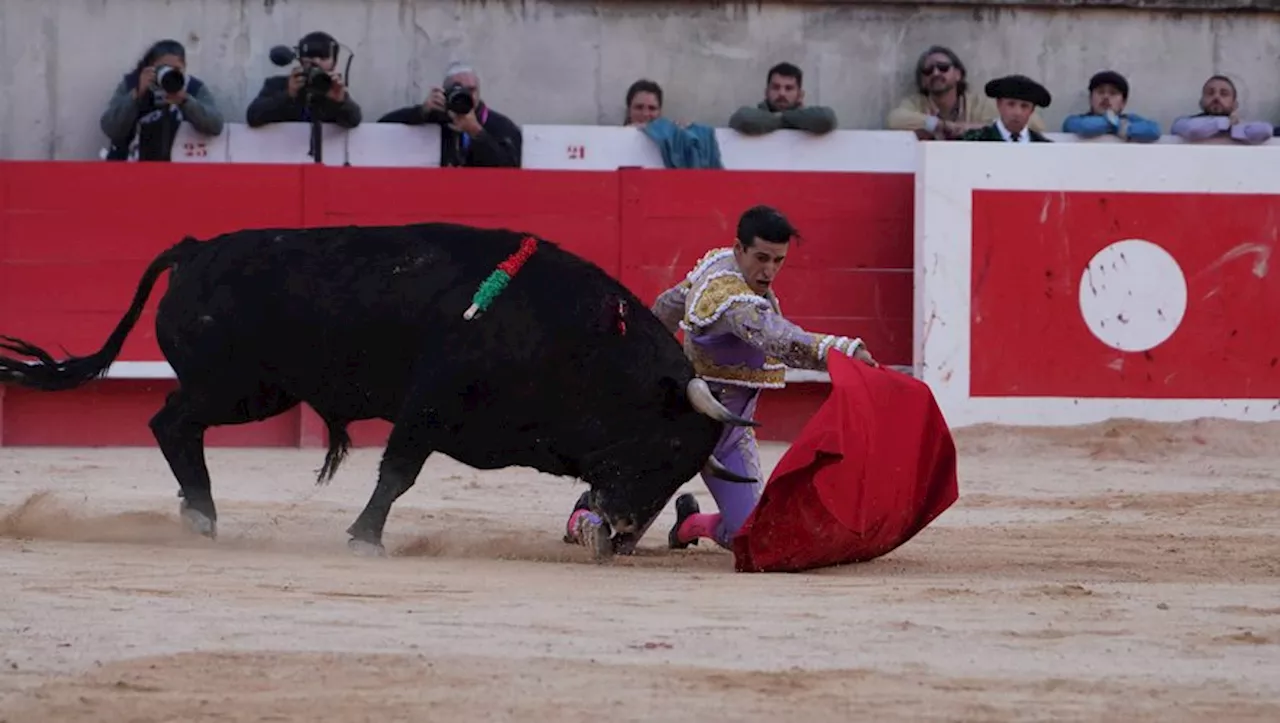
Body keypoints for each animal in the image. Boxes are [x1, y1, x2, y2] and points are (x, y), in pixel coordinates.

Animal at [0, 222, 757, 555]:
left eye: (687, 467)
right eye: (665, 447)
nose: (624, 534)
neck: (579, 342)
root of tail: (194, 249)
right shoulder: (427, 405)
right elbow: (397, 473)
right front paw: (365, 537)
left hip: (254, 393)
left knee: (175, 425)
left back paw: (200, 513)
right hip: (237, 388)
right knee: (170, 422)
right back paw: (204, 517)